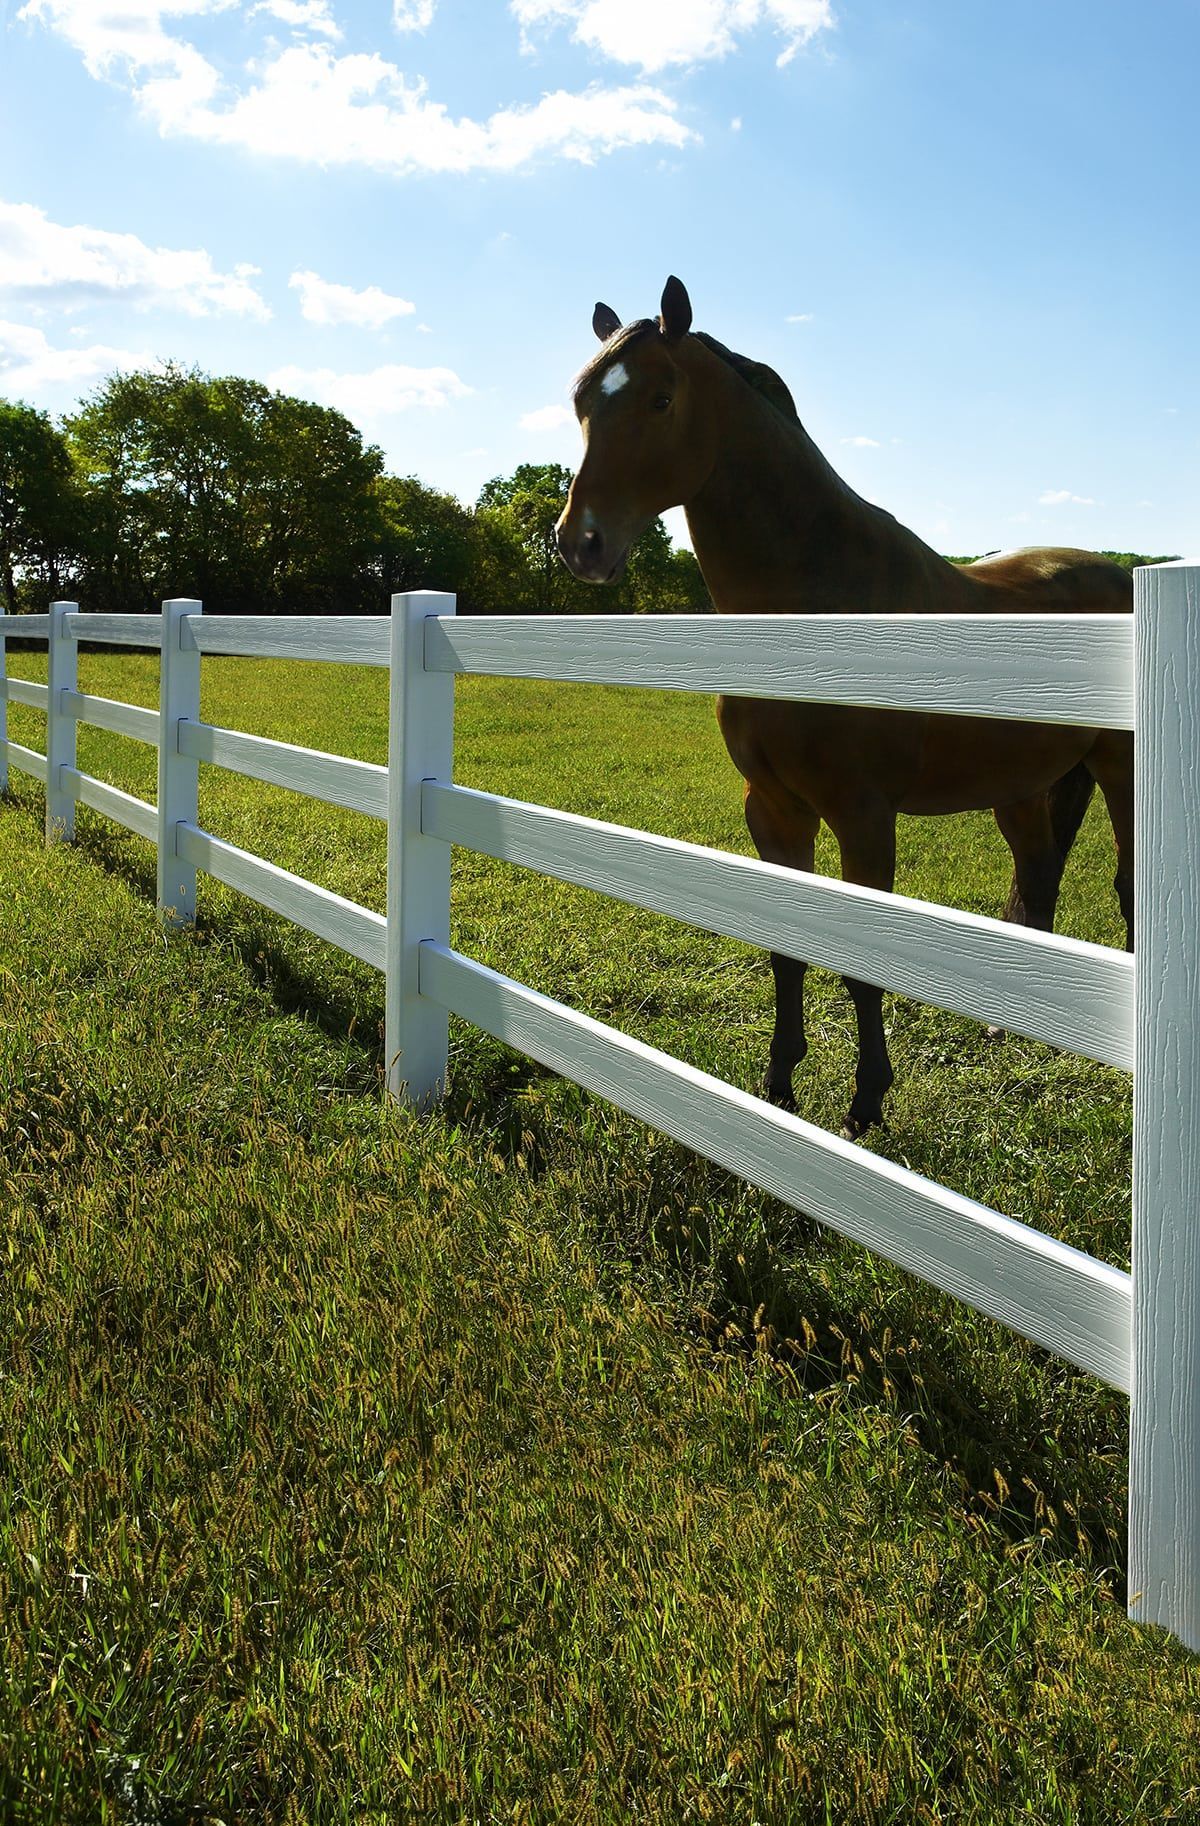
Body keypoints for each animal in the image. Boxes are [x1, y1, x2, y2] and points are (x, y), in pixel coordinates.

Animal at [555, 276, 1133, 1139]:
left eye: (660, 398)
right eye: (582, 401)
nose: (579, 543)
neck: (818, 601)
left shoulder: (863, 814)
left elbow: (863, 963)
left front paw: (864, 1104)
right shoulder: (775, 808)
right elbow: (787, 948)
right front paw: (779, 1087)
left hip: (1121, 771)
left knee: (1128, 889)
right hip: (1023, 786)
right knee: (1036, 878)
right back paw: (1009, 1030)